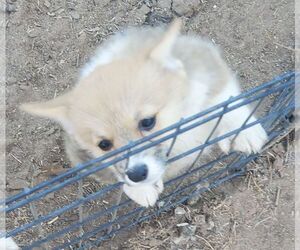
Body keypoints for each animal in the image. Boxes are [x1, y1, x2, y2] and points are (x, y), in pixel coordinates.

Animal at [20, 19, 268, 207]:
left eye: (147, 122)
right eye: (104, 144)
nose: (137, 174)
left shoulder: (205, 63)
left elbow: (226, 99)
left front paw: (244, 131)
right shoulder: (81, 154)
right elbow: (114, 171)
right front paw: (141, 190)